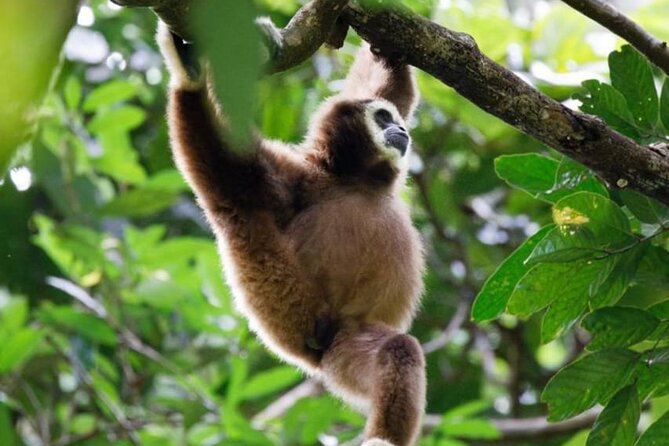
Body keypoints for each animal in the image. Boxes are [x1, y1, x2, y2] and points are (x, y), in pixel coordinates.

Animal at [157, 21, 425, 446]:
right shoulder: (292, 179)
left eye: (395, 117)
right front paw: (189, 72)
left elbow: (388, 83)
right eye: (383, 118)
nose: (401, 128)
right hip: (331, 339)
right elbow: (229, 177)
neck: (352, 178)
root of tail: (317, 354)